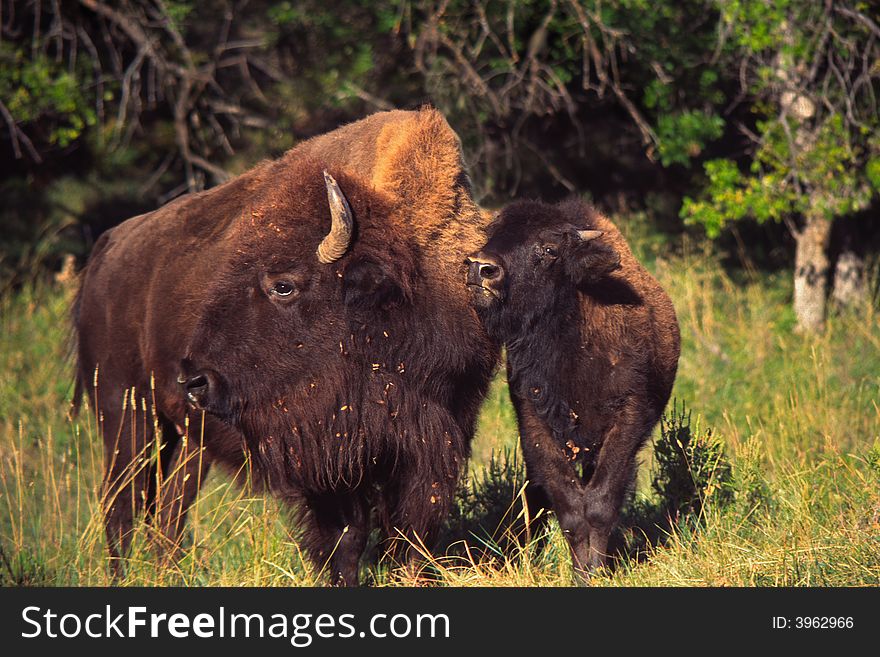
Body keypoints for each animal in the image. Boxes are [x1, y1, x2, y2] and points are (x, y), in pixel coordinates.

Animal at [72, 107, 498, 584]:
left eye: (283, 285)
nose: (196, 380)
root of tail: (106, 249)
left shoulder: (438, 438)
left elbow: (411, 534)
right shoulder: (324, 457)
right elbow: (346, 538)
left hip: (186, 440)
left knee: (168, 509)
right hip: (126, 414)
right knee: (122, 503)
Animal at [468, 197, 680, 580]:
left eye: (550, 249)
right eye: (491, 234)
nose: (481, 268)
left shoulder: (627, 419)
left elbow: (599, 502)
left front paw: (594, 571)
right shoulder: (535, 422)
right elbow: (568, 507)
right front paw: (582, 570)